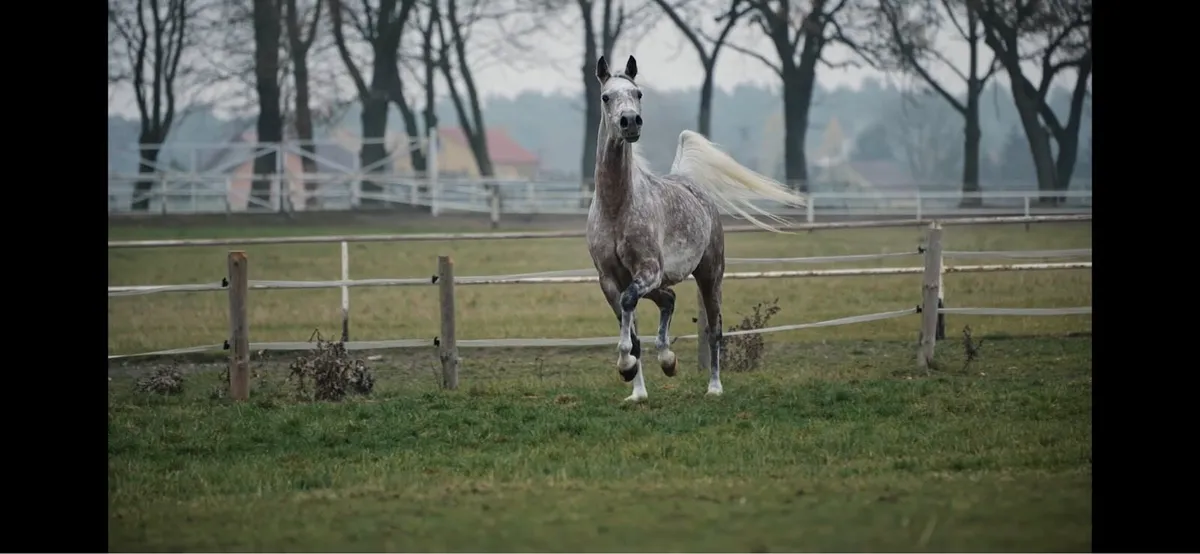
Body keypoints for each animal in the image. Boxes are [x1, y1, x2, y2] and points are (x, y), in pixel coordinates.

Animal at [585, 54, 809, 402]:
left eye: (638, 93)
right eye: (606, 96)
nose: (630, 122)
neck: (617, 207)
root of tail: (688, 180)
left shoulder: (647, 271)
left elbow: (630, 309)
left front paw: (628, 367)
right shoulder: (609, 280)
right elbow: (632, 334)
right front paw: (634, 386)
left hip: (710, 273)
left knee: (713, 329)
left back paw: (713, 387)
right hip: (663, 280)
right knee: (668, 299)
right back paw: (664, 364)